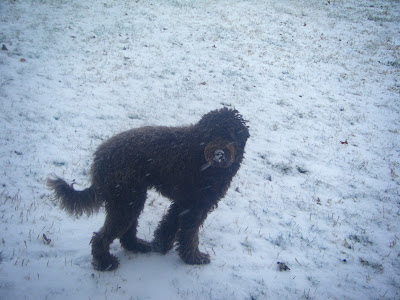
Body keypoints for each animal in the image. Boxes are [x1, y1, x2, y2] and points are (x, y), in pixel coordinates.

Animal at [46, 108, 247, 272]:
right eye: (211, 134)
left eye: (230, 135)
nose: (219, 154)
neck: (199, 153)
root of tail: (99, 158)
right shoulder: (196, 205)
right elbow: (189, 235)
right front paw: (194, 258)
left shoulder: (184, 203)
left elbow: (169, 224)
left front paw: (161, 245)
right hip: (125, 200)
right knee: (101, 237)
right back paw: (106, 263)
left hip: (130, 198)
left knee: (126, 233)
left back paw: (137, 246)